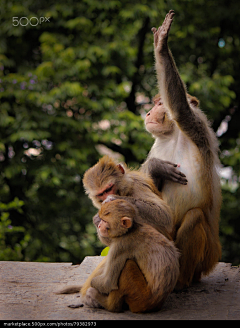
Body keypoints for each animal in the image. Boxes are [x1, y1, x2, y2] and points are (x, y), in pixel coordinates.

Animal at [141, 9, 221, 290]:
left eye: (159, 103)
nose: (148, 112)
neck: (172, 134)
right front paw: (156, 168)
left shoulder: (196, 126)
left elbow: (180, 109)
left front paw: (162, 47)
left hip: (204, 260)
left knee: (195, 217)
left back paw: (179, 280)